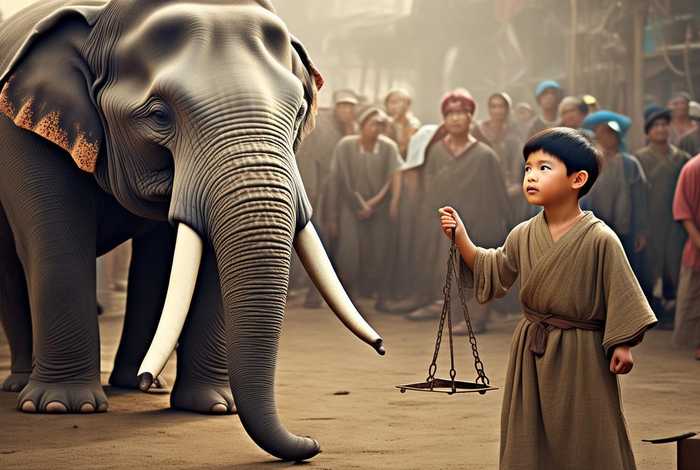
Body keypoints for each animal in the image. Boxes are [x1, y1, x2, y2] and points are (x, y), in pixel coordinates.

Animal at [0, 0, 384, 462]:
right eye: (159, 115)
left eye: (297, 114)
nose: (312, 443)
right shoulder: (22, 133)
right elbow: (57, 244)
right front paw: (64, 407)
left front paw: (214, 407)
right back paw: (24, 387)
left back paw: (139, 385)